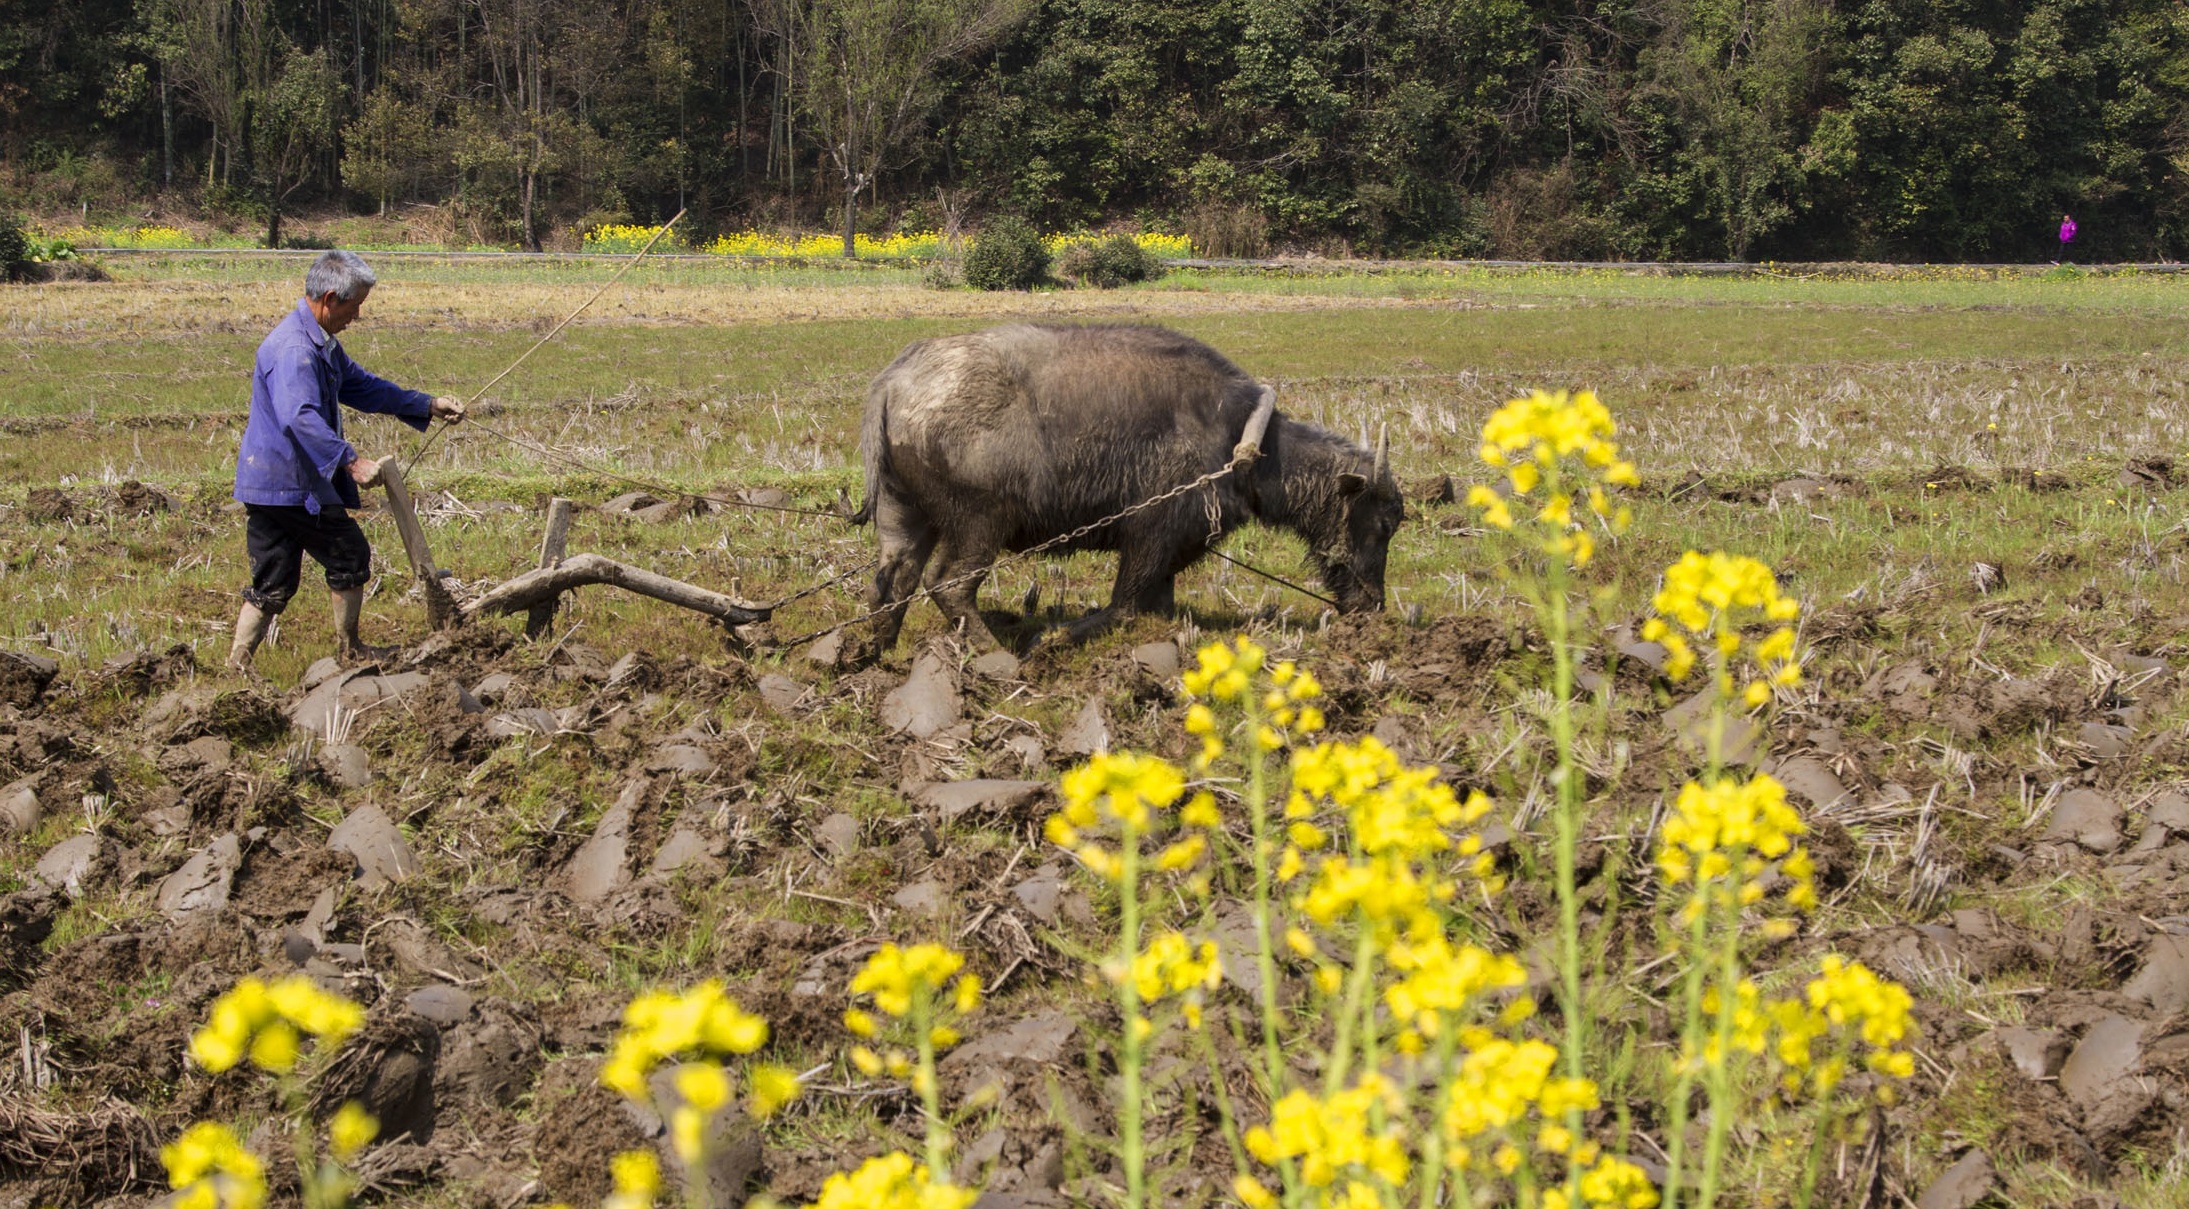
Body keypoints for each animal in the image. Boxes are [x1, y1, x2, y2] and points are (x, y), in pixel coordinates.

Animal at [844, 321, 1409, 657]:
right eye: (1383, 523)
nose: (1372, 607)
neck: (1242, 438)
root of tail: (893, 383)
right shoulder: (1151, 535)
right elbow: (1123, 604)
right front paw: (1052, 639)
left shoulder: (1172, 548)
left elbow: (1153, 603)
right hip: (980, 524)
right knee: (947, 584)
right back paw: (1001, 657)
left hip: (905, 517)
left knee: (892, 583)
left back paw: (876, 654)